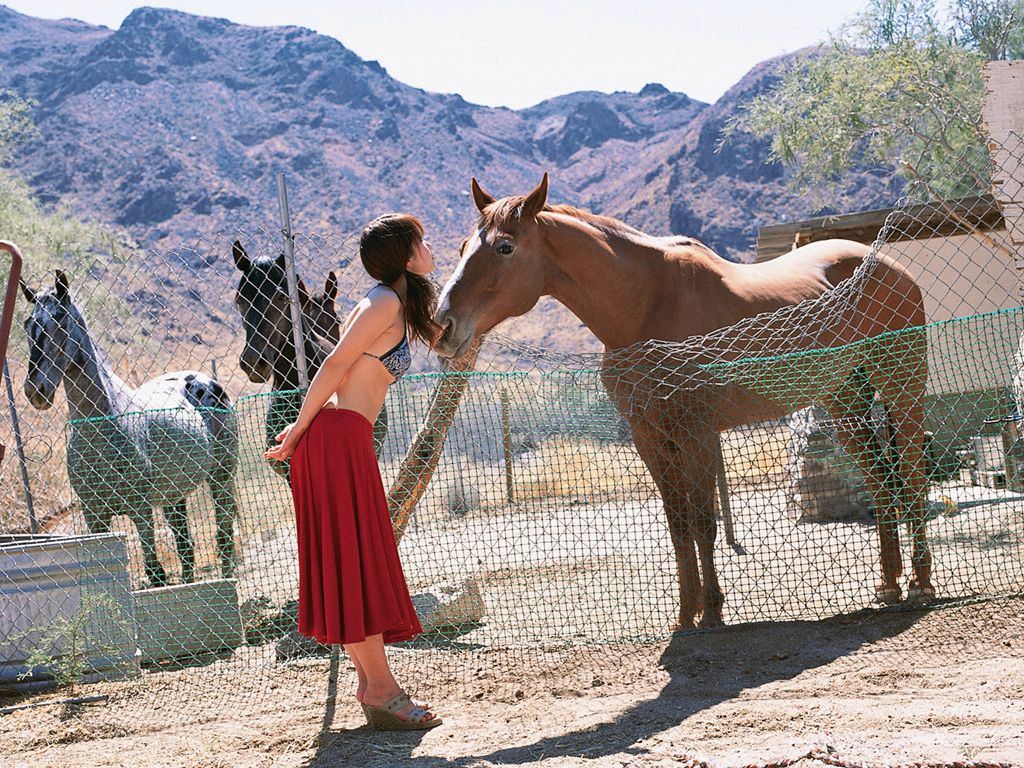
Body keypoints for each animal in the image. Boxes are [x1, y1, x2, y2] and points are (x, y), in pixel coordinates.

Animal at [434, 176, 937, 630]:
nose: (443, 325)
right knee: (880, 477)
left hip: (902, 387)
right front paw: (684, 614)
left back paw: (920, 584)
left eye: (504, 248)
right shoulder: (651, 438)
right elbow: (677, 525)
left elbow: (702, 522)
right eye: (462, 246)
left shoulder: (696, 433)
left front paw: (712, 611)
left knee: (911, 471)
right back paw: (888, 583)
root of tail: (886, 264)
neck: (645, 308)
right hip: (844, 399)